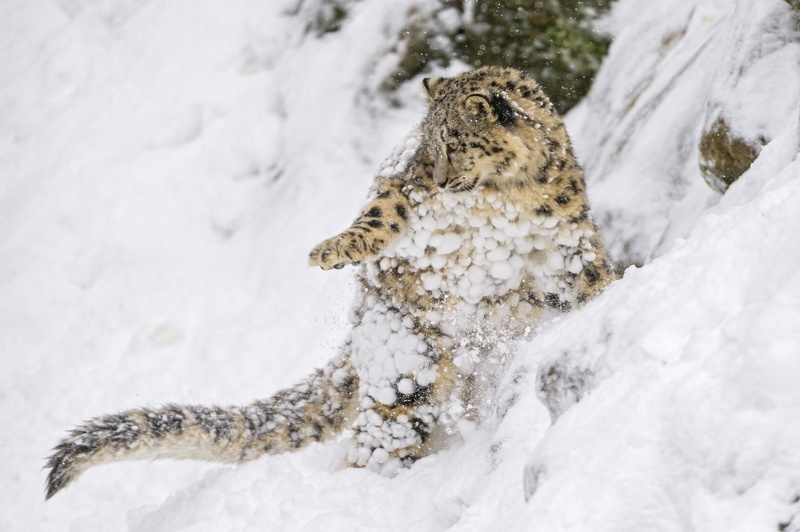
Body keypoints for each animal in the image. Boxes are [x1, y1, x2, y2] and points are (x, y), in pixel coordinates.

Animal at [44, 66, 612, 499]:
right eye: (428, 146)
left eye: (456, 142)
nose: (440, 178)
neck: (504, 200)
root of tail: (360, 330)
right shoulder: (404, 189)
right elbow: (380, 212)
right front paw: (332, 251)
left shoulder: (566, 246)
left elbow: (591, 280)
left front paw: (612, 297)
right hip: (405, 366)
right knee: (383, 436)